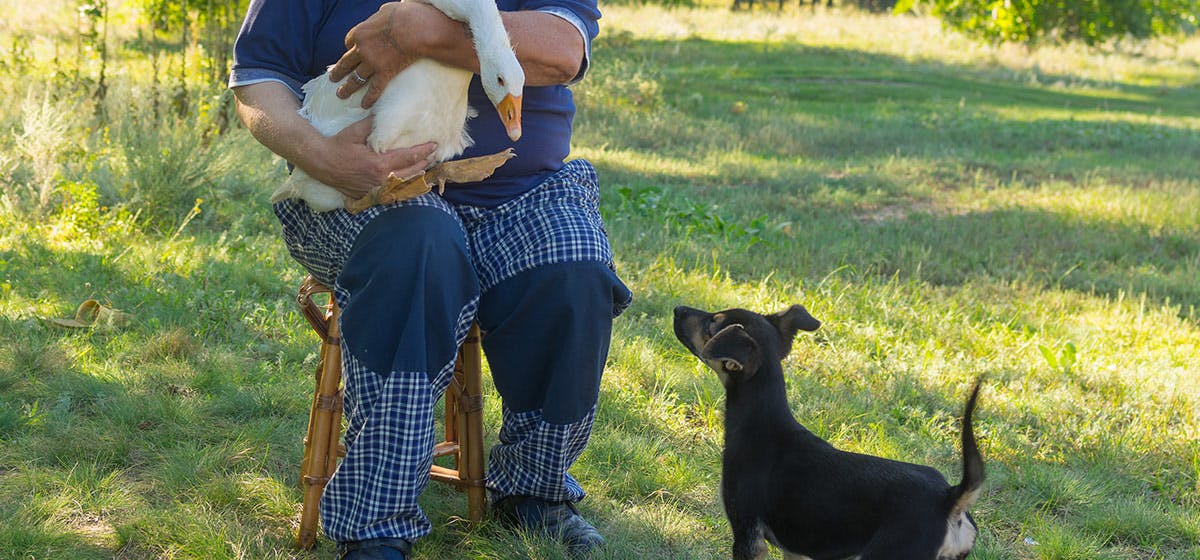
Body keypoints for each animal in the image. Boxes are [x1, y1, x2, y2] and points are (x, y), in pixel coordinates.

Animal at [676, 306, 984, 560]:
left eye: (711, 324)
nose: (678, 309)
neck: (761, 420)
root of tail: (949, 498)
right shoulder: (796, 549)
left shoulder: (747, 536)